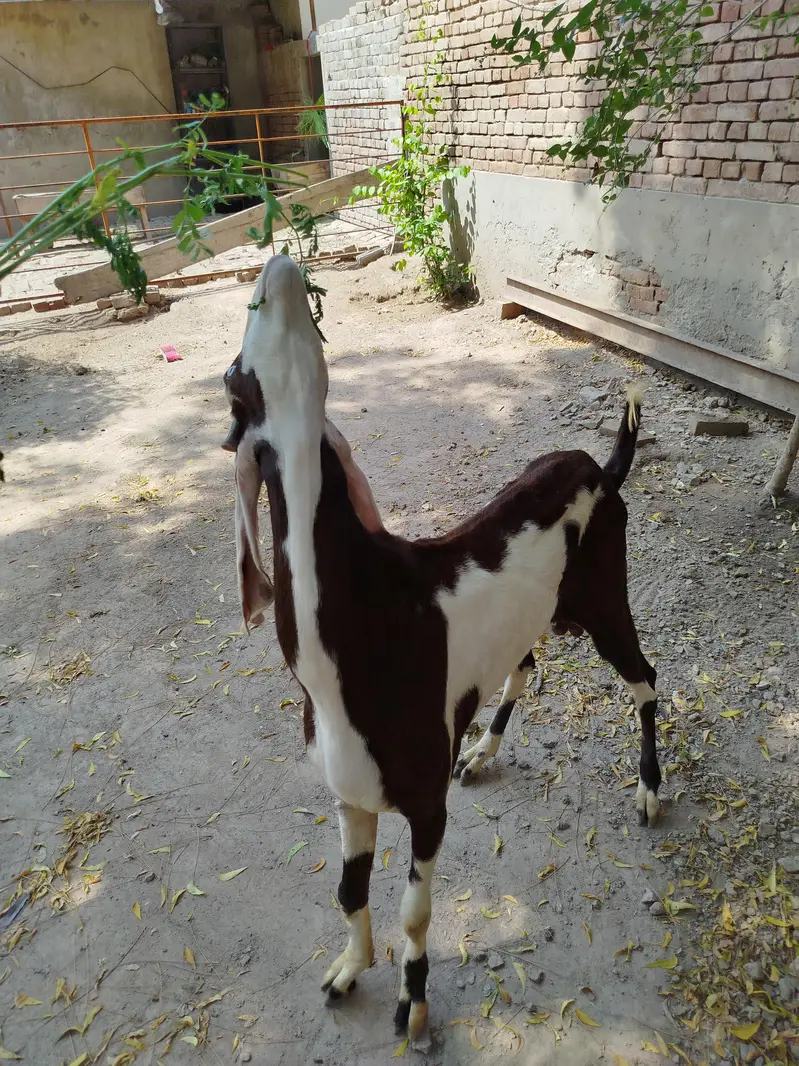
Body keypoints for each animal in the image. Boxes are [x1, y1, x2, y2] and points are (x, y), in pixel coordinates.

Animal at [224, 256, 661, 1048]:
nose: (278, 268)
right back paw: (482, 752)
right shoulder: (349, 792)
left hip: (605, 602)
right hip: (541, 615)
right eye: (236, 379)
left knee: (643, 678)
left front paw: (413, 1005)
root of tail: (600, 470)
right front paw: (347, 970)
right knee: (525, 664)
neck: (361, 636)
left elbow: (416, 910)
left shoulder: (425, 806)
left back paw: (648, 790)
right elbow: (348, 889)